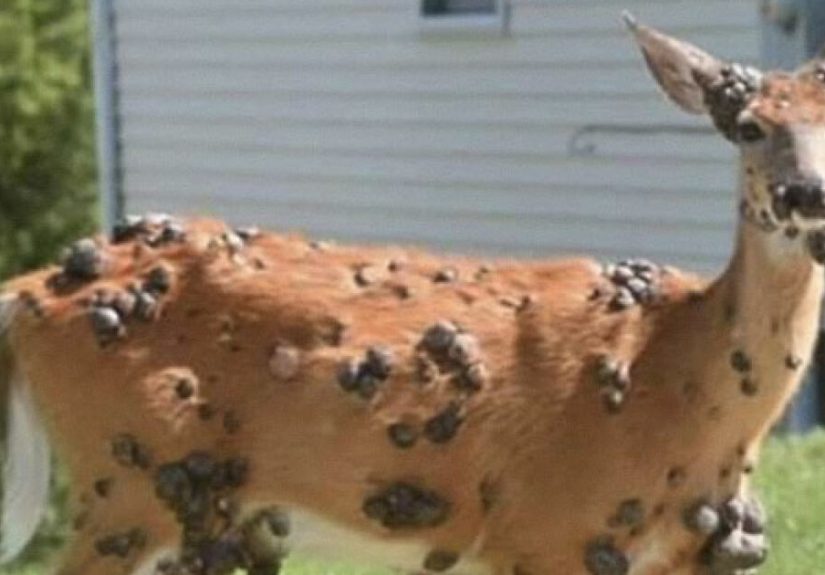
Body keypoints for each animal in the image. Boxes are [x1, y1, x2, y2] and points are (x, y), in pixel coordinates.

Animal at [1, 14, 824, 575]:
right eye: (749, 126)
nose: (804, 191)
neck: (681, 381)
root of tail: (27, 290)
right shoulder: (545, 532)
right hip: (124, 485)